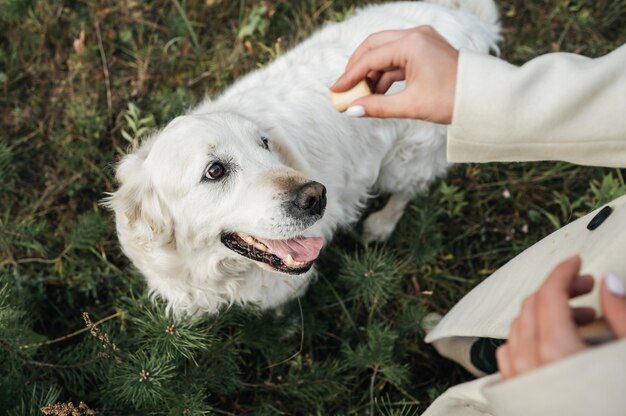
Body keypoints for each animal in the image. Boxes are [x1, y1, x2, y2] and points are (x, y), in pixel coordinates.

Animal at [107, 0, 498, 316]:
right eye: (215, 170)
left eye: (264, 143)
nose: (316, 197)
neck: (214, 273)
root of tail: (463, 19)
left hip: (408, 157)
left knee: (406, 191)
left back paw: (381, 223)